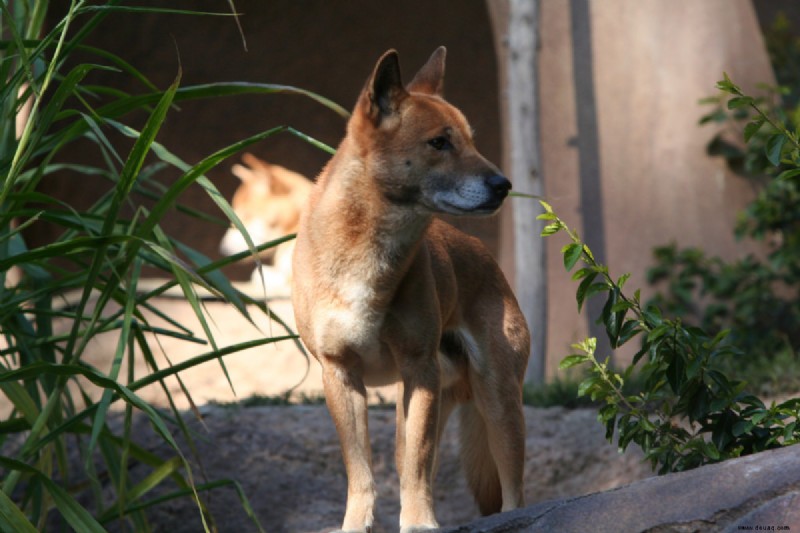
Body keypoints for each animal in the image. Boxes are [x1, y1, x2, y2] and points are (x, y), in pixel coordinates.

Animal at [294, 47, 532, 528]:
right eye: (439, 143)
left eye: (471, 141)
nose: (504, 185)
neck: (368, 258)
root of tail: (486, 256)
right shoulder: (339, 373)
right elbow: (360, 471)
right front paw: (356, 525)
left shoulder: (419, 368)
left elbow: (416, 471)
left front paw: (420, 523)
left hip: (497, 399)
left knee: (513, 491)